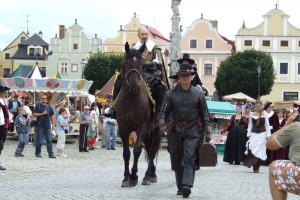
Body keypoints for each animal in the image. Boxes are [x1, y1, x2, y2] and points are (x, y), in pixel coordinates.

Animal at [115, 42, 162, 188]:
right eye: (126, 62)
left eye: (141, 64)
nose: (134, 85)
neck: (132, 98)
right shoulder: (123, 128)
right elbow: (126, 153)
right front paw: (126, 178)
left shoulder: (142, 126)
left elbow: (136, 150)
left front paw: (134, 176)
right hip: (148, 132)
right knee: (149, 148)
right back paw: (152, 173)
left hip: (156, 129)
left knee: (152, 151)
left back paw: (148, 176)